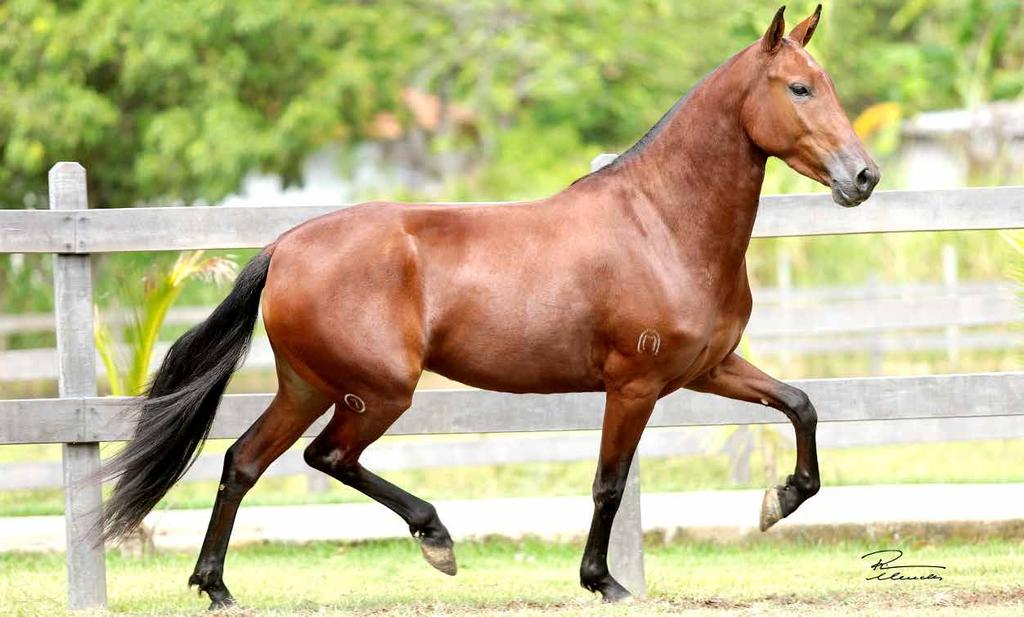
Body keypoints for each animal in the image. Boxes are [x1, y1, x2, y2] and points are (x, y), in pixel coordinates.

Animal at [97, 6, 880, 609]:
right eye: (800, 88)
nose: (863, 177)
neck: (661, 223)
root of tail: (286, 246)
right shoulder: (634, 385)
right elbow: (609, 484)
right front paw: (604, 582)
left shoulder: (709, 367)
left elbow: (801, 404)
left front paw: (780, 500)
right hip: (377, 392)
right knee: (328, 456)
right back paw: (436, 539)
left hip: (308, 385)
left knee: (243, 462)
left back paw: (216, 586)